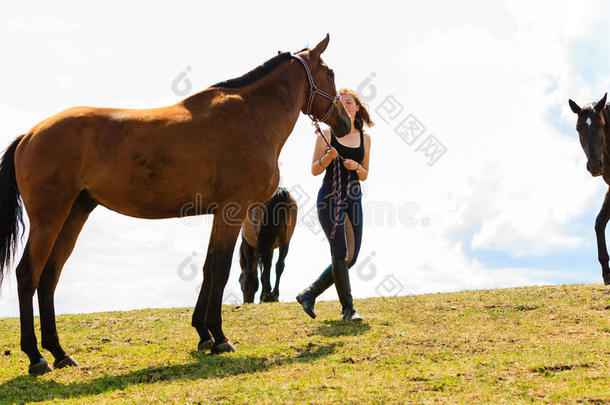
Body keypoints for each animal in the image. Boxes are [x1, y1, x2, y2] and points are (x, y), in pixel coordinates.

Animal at [0, 33, 350, 374]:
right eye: (331, 73)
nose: (346, 122)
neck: (252, 116)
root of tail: (30, 134)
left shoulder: (221, 213)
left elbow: (208, 268)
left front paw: (203, 334)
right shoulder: (232, 209)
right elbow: (220, 270)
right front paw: (219, 336)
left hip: (74, 214)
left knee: (49, 276)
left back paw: (60, 353)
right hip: (49, 218)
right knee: (27, 274)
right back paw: (36, 357)